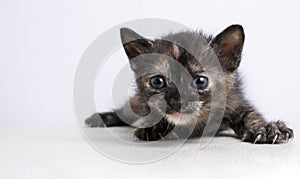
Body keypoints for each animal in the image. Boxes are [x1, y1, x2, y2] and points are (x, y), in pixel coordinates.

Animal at [86, 24, 292, 144]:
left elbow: (249, 114)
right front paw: (154, 127)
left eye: (200, 81)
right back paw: (100, 118)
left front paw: (264, 128)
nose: (177, 102)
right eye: (157, 81)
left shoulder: (234, 101)